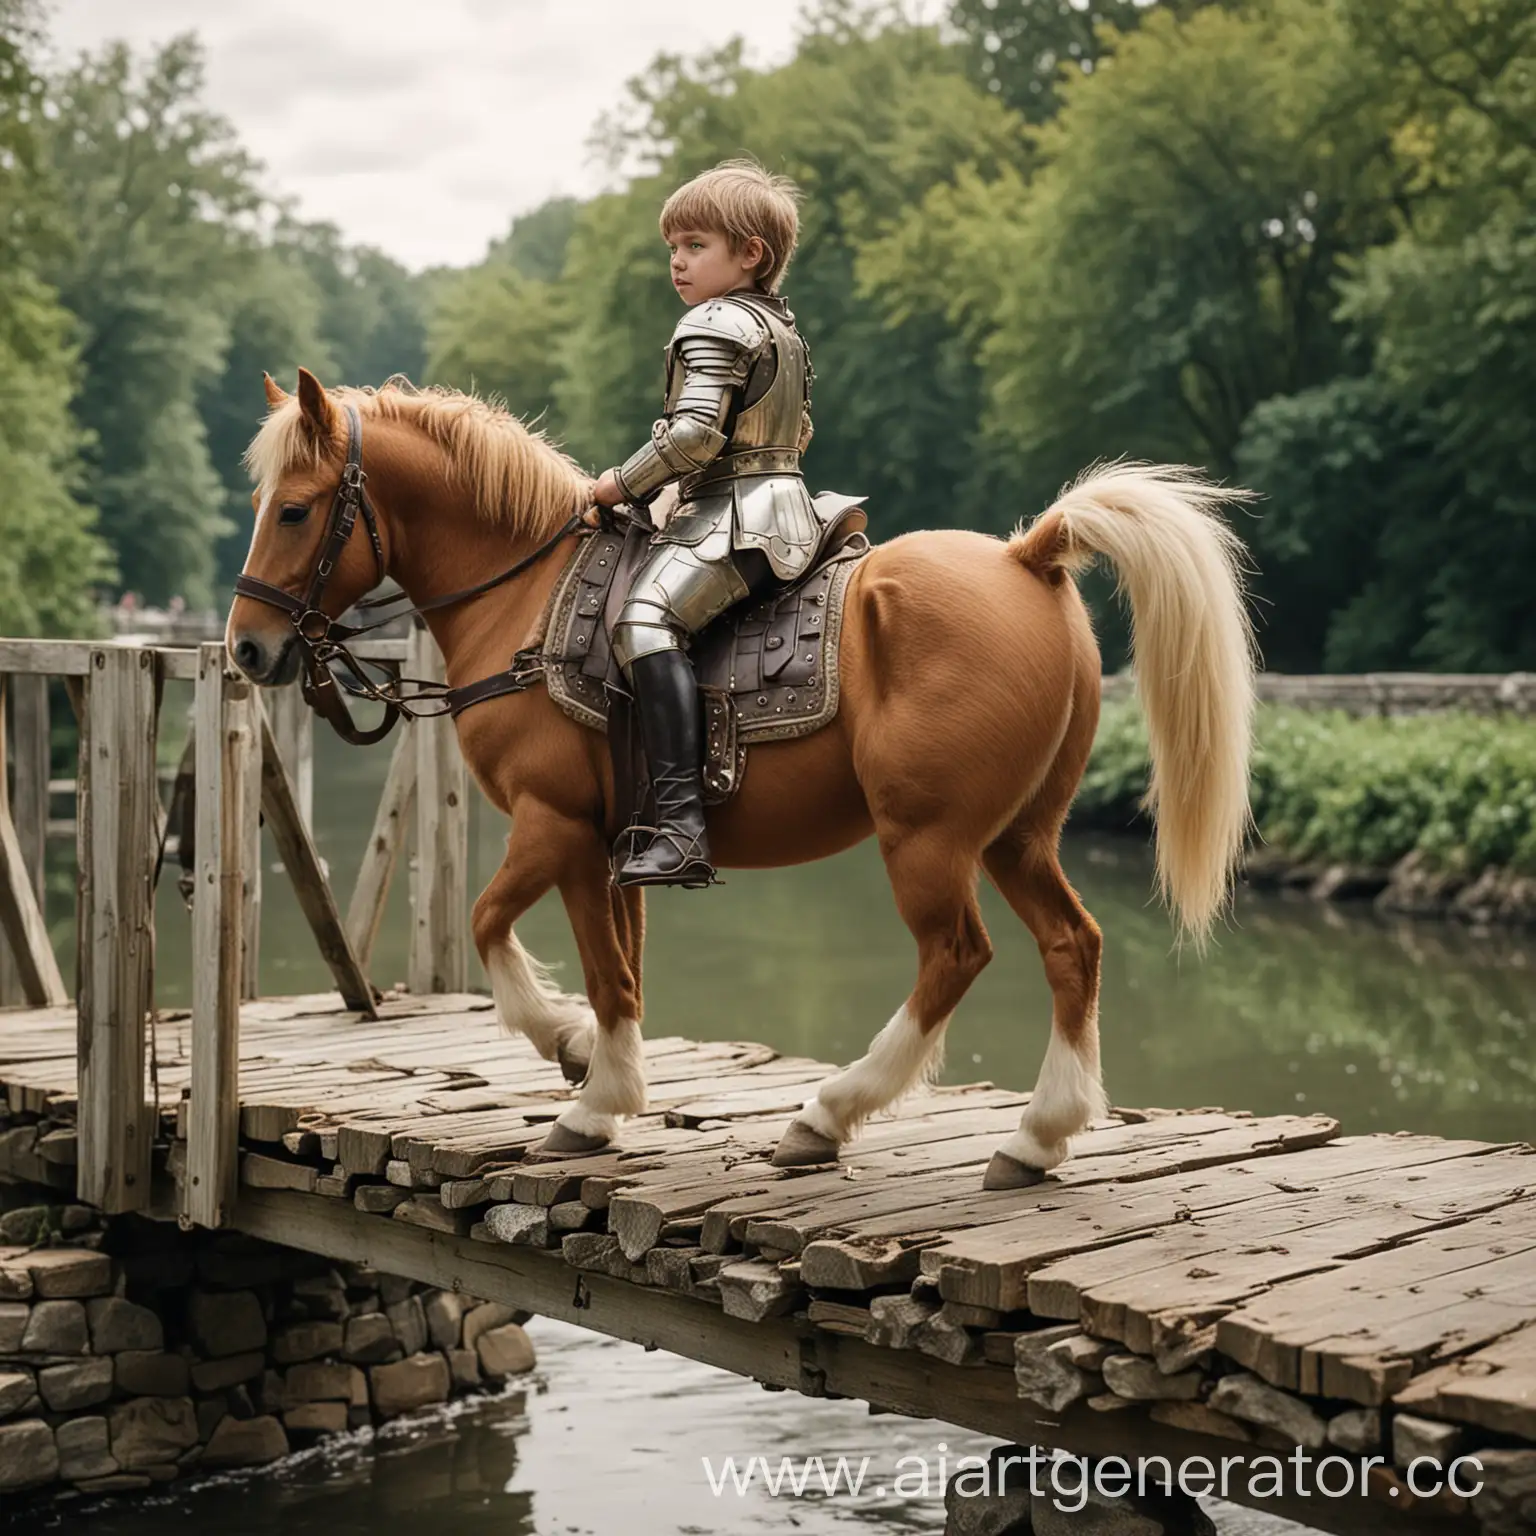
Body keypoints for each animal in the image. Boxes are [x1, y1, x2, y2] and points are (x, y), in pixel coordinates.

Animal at [230, 368, 1259, 1185]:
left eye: (293, 509)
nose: (247, 646)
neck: (523, 598)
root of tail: (1024, 553)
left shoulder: (552, 824)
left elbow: (504, 932)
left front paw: (575, 1063)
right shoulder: (615, 847)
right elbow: (620, 974)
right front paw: (607, 1089)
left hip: (927, 839)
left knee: (956, 956)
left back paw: (829, 1114)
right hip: (1018, 836)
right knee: (1071, 946)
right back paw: (1039, 1135)